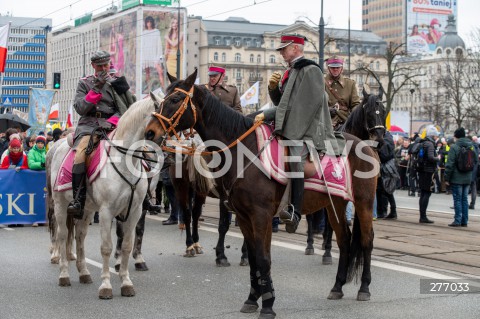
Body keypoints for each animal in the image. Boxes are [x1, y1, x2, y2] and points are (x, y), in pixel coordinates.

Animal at [49, 95, 161, 300]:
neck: (126, 160)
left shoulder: (134, 211)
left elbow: (126, 245)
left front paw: (126, 282)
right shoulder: (106, 211)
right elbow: (106, 247)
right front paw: (106, 286)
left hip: (85, 209)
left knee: (80, 235)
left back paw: (84, 273)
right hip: (61, 204)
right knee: (62, 235)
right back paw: (64, 274)